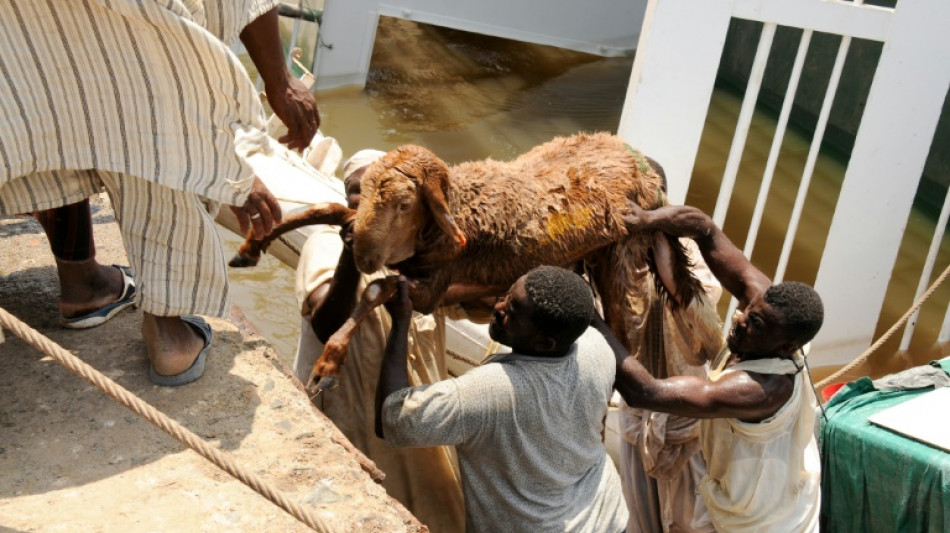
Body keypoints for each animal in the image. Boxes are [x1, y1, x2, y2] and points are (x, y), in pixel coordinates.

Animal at [234, 132, 716, 390]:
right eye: (364, 190)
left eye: (406, 204)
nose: (363, 254)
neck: (462, 209)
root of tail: (637, 161)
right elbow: (329, 210)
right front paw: (252, 245)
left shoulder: (431, 289)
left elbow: (374, 290)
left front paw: (327, 365)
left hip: (619, 259)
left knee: (627, 334)